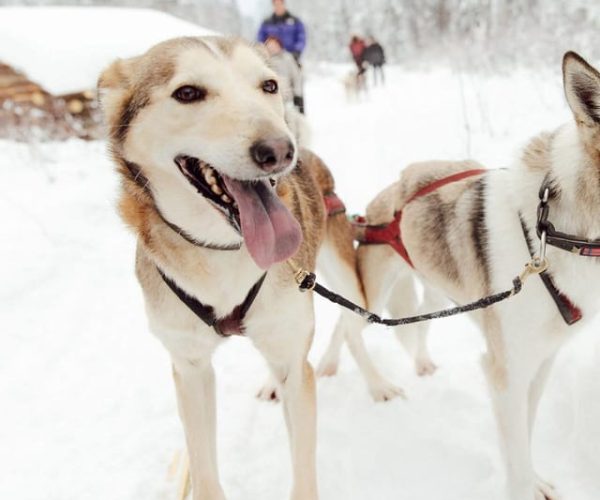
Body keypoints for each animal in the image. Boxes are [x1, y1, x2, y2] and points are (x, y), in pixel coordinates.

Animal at [98, 36, 404, 500]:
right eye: (188, 92)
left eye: (268, 85)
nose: (279, 150)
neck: (224, 249)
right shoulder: (190, 368)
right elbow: (204, 472)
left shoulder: (295, 363)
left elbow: (303, 469)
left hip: (341, 281)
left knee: (351, 327)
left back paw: (376, 383)